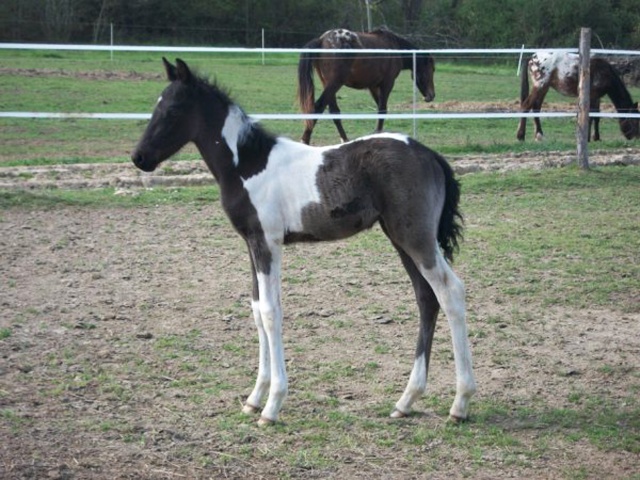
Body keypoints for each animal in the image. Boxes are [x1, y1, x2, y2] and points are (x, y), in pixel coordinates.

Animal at [131, 59, 476, 424]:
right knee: (426, 298)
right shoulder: (252, 244)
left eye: (172, 110)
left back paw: (460, 403)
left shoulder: (267, 243)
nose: (139, 158)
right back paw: (406, 400)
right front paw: (254, 398)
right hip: (400, 237)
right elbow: (257, 310)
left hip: (415, 237)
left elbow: (271, 312)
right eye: (156, 105)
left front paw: (272, 406)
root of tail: (430, 155)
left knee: (450, 292)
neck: (247, 164)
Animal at [296, 27, 436, 144]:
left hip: (328, 85)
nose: (431, 95)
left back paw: (345, 140)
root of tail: (322, 40)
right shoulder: (387, 84)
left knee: (334, 111)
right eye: (432, 69)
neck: (394, 47)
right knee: (318, 106)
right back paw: (305, 140)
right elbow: (382, 110)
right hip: (335, 84)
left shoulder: (373, 86)